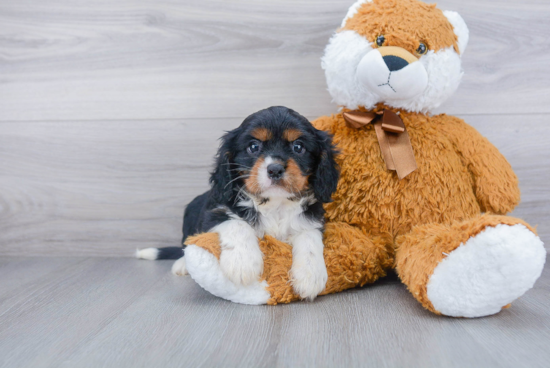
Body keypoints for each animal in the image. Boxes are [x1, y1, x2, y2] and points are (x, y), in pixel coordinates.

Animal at [137, 106, 340, 302]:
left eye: (298, 147)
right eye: (253, 146)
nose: (275, 169)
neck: (274, 203)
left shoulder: (312, 217)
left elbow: (309, 236)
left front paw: (311, 275)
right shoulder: (215, 210)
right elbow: (237, 224)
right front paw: (243, 262)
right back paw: (182, 264)